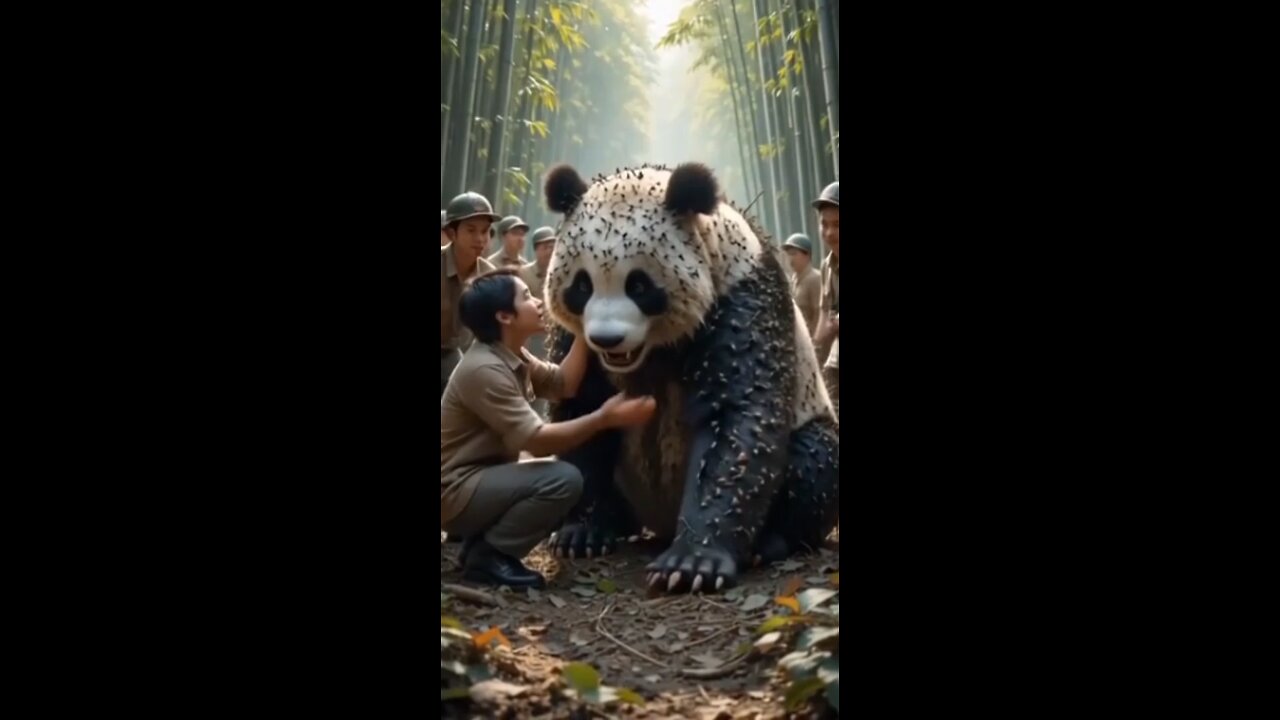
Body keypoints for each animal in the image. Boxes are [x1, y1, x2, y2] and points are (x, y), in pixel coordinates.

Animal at [541, 162, 839, 594]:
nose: (607, 339)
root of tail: (658, 521)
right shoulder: (575, 339)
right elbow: (582, 410)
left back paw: (769, 543)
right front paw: (580, 534)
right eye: (582, 285)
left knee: (816, 460)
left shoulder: (738, 296)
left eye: (639, 285)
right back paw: (616, 521)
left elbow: (737, 417)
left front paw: (692, 563)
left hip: (812, 415)